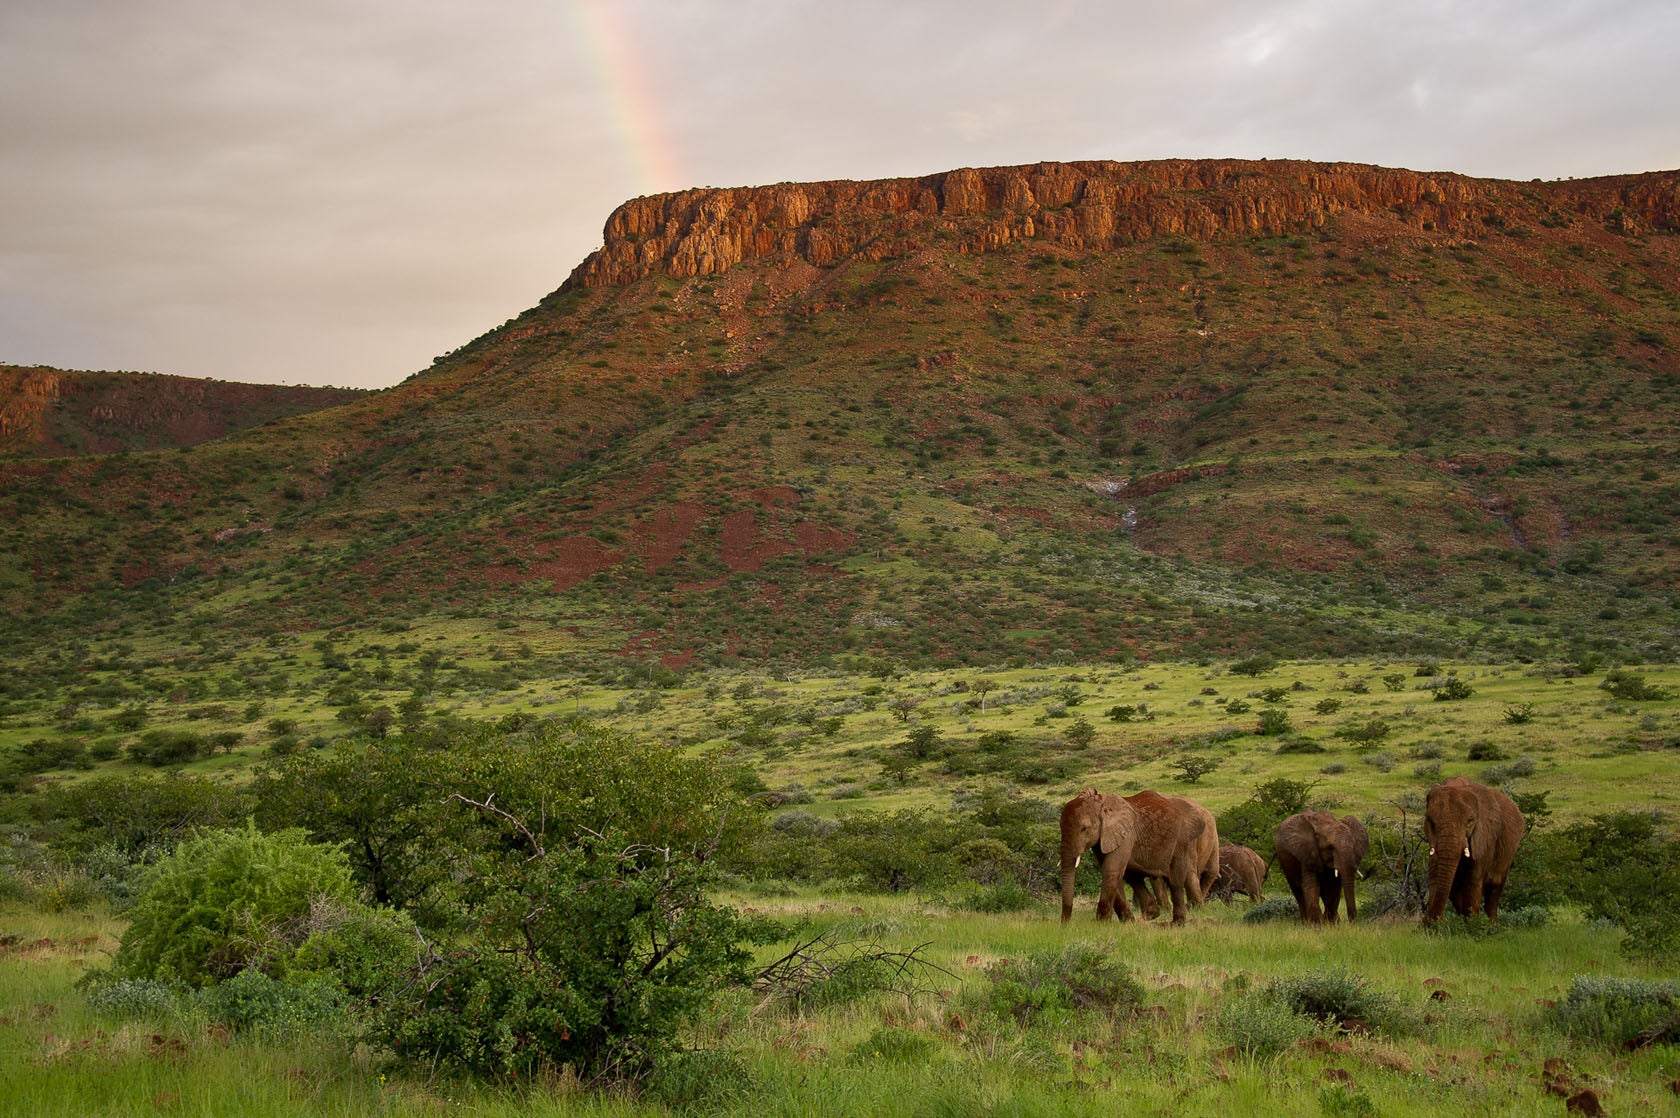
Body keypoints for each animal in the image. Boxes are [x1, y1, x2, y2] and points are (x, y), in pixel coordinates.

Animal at [1422, 776, 1526, 925]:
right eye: (1430, 821)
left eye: (1470, 821)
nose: (1424, 923)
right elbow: (1436, 876)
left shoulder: (1485, 837)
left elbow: (1473, 880)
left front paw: (1473, 926)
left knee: (1494, 890)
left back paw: (1491, 925)